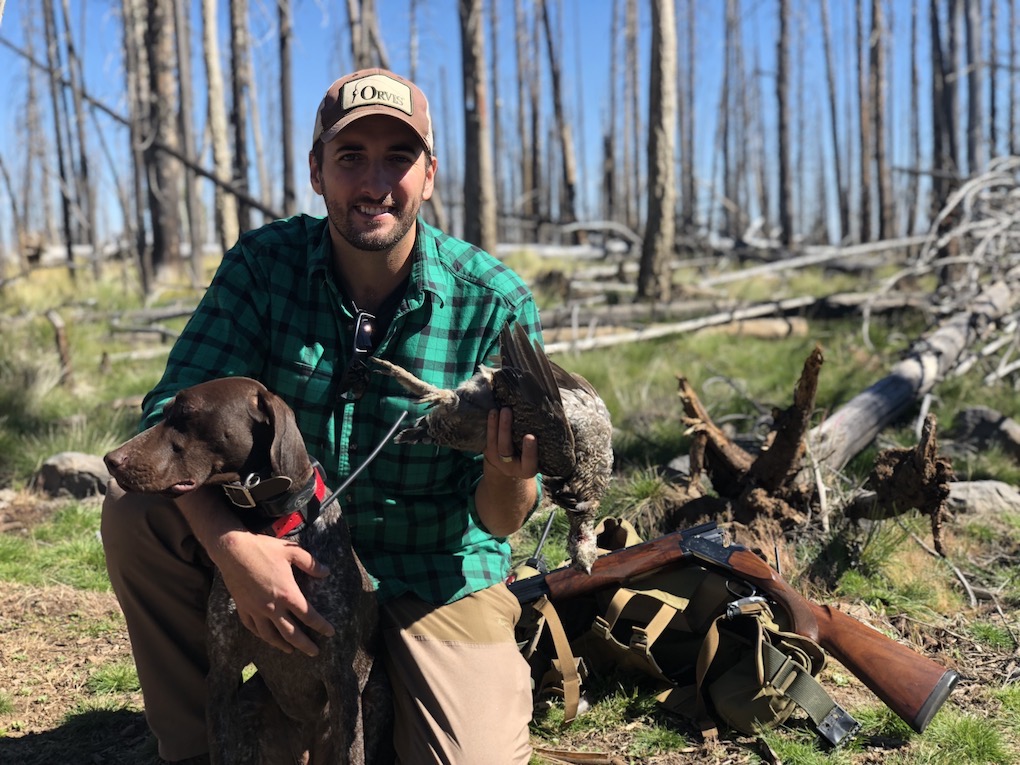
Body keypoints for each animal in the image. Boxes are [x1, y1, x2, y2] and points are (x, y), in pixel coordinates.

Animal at [103, 379, 389, 765]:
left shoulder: (341, 680)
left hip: (374, 697)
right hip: (252, 703)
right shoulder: (222, 674)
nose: (110, 460)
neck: (273, 527)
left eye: (186, 414)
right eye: (165, 412)